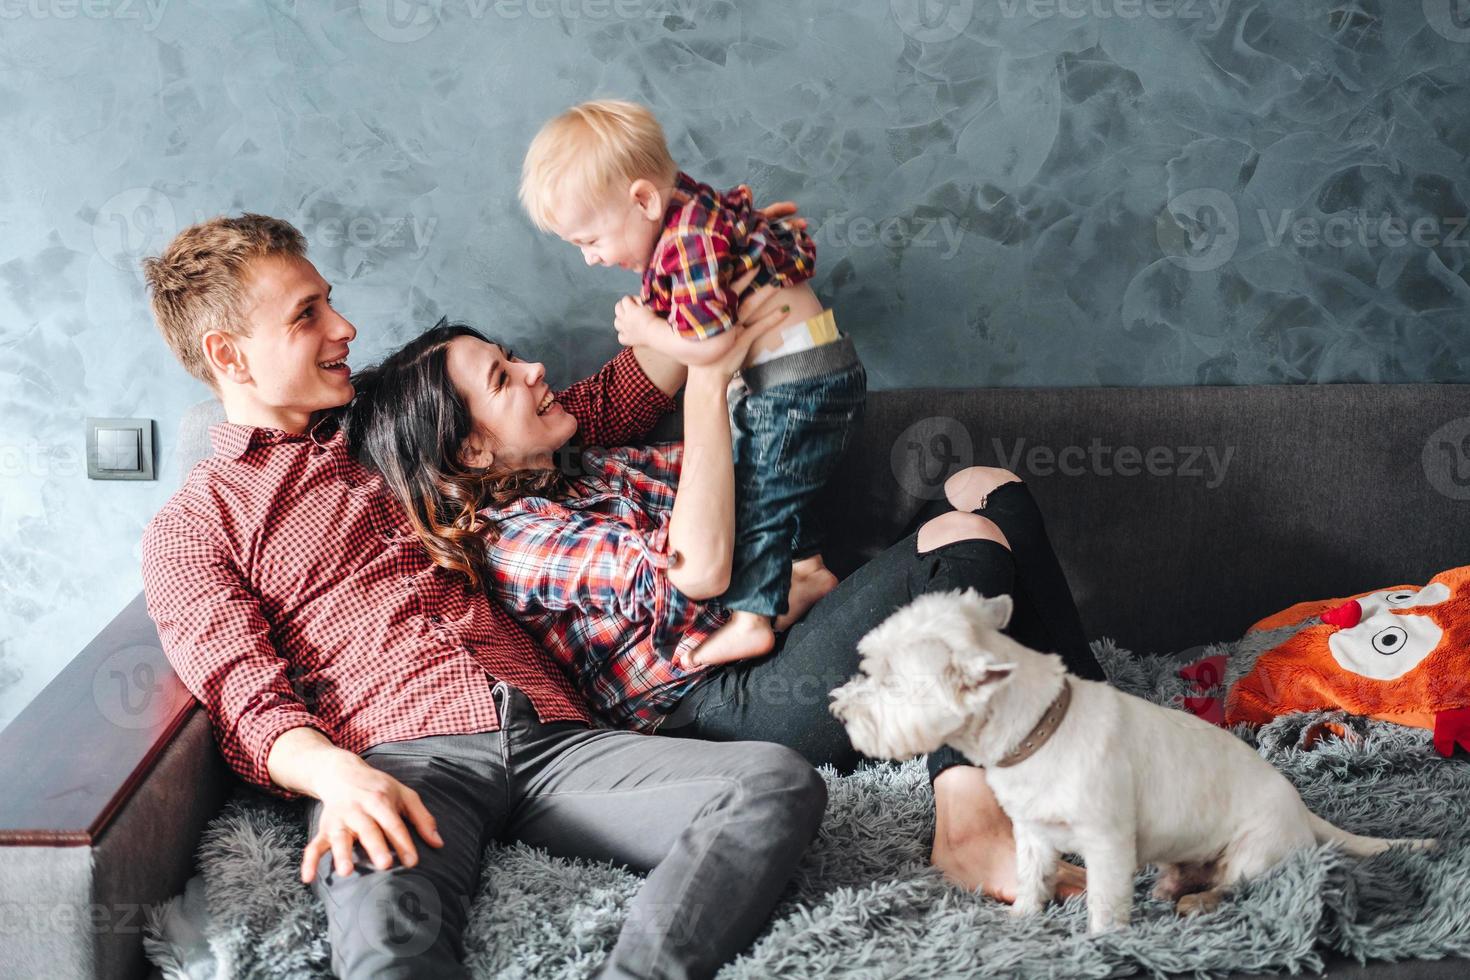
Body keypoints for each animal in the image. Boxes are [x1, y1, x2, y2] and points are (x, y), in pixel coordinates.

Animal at [834, 590, 1440, 934]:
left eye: (888, 681)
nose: (838, 708)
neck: (1039, 730)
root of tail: (1302, 811)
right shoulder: (1032, 833)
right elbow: (1031, 877)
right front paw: (1023, 918)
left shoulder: (1105, 839)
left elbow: (1105, 900)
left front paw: (1103, 944)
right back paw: (1172, 885)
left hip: (1257, 847)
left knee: (1241, 883)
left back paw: (1196, 900)